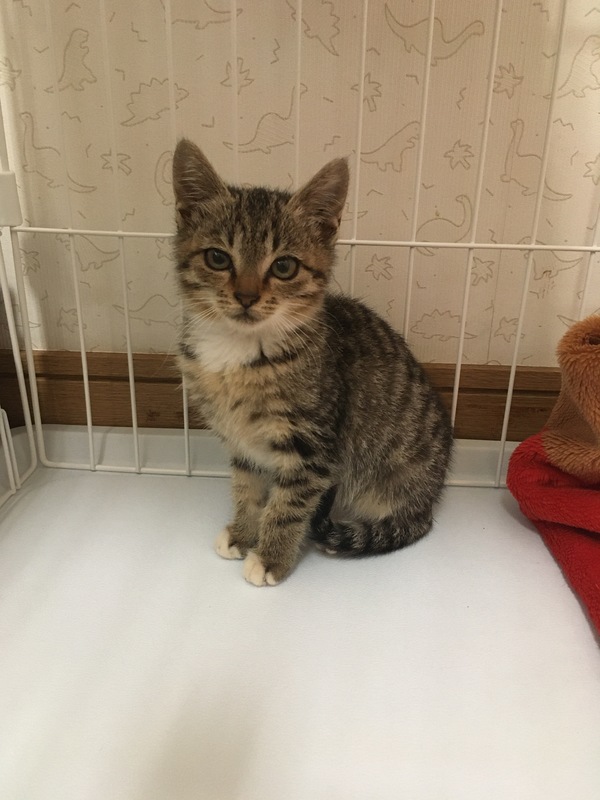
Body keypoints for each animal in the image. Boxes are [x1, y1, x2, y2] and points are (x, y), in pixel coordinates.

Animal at [172, 138, 453, 586]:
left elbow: (289, 505)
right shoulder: (240, 440)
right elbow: (247, 486)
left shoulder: (312, 445)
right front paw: (244, 531)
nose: (246, 296)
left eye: (284, 266)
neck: (239, 350)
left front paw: (271, 557)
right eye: (218, 258)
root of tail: (429, 500)